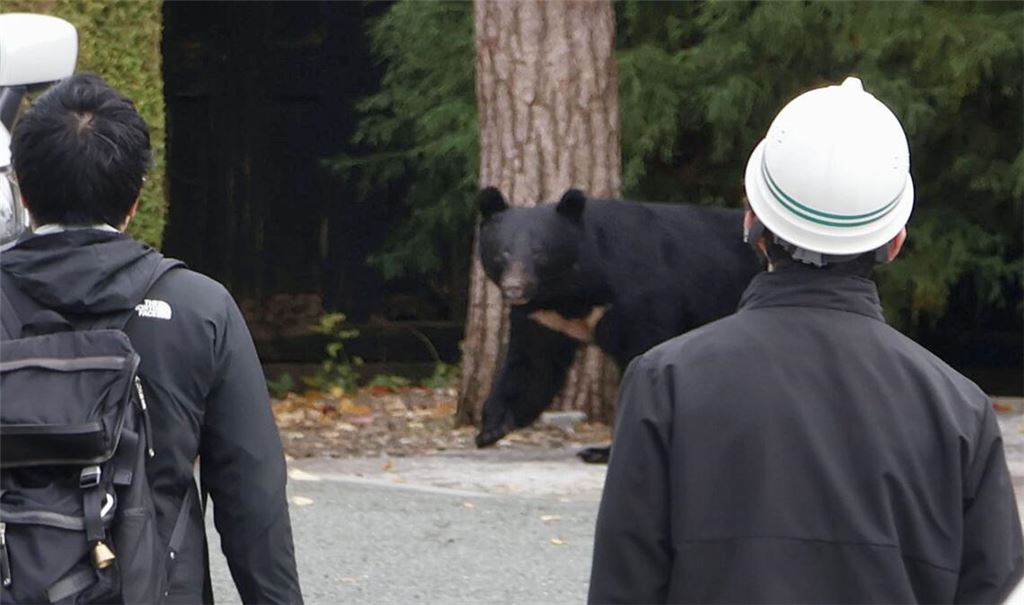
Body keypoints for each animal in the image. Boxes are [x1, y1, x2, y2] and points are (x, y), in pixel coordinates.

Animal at [474, 187, 762, 455]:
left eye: (539, 253)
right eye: (502, 253)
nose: (514, 288)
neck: (570, 291)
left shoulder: (638, 297)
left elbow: (644, 352)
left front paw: (606, 449)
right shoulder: (543, 318)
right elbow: (533, 365)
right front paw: (492, 427)